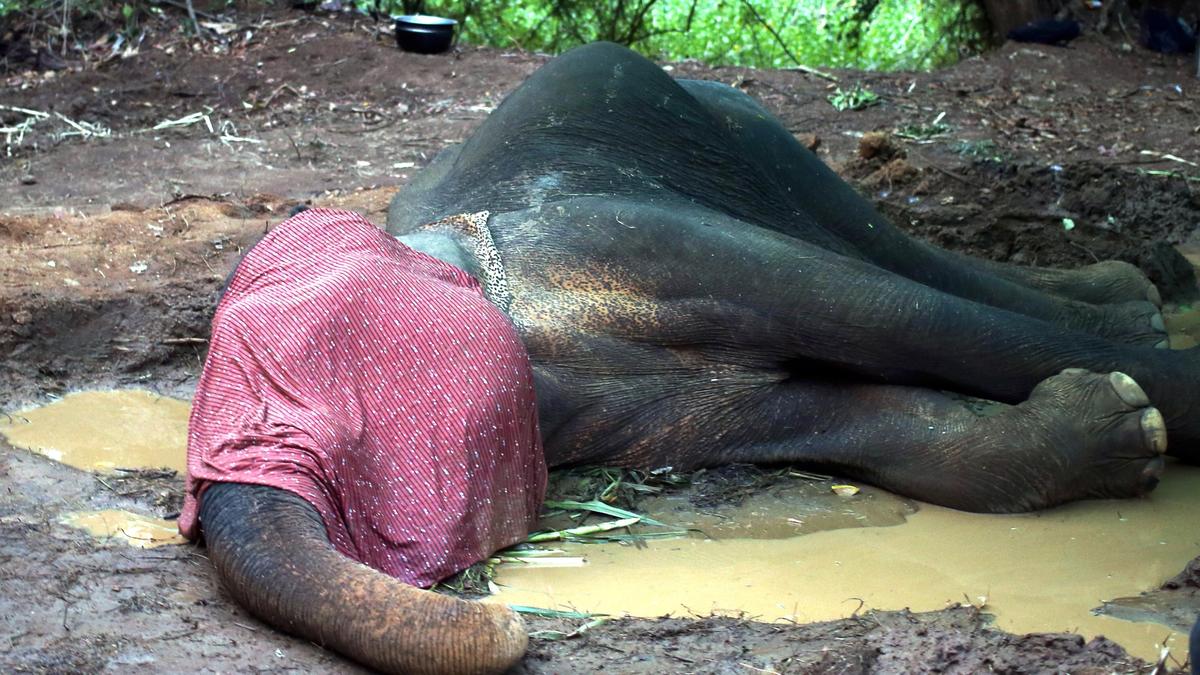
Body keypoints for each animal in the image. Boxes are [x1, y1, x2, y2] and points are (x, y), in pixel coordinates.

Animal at [185, 42, 1198, 674]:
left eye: (303, 369)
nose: (505, 615)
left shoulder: (617, 238)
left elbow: (872, 309)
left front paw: (1147, 408)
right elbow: (846, 416)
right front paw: (1121, 430)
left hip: (750, 133)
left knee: (881, 250)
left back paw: (1143, 299)